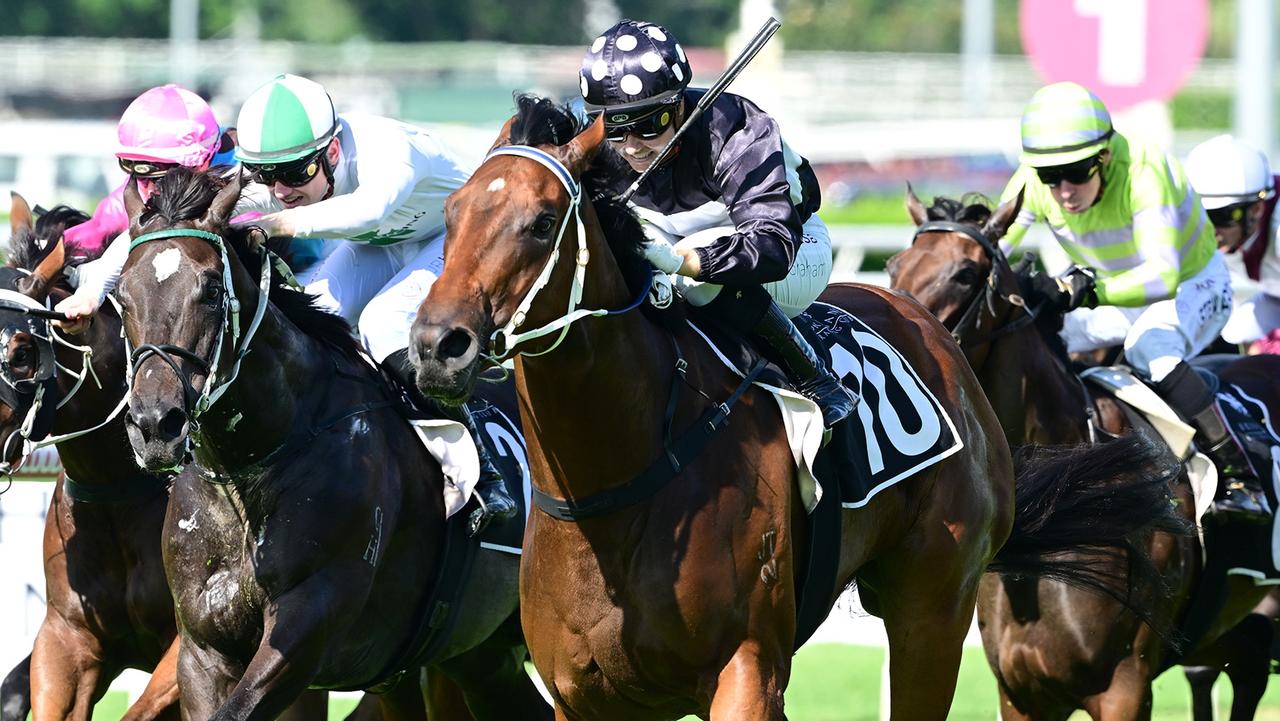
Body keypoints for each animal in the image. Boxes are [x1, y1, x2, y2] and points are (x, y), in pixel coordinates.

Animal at [409, 97, 1177, 721]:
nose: (437, 345)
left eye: (542, 222)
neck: (616, 484)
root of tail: (930, 330)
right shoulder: (584, 694)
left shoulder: (747, 669)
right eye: (450, 214)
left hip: (933, 602)